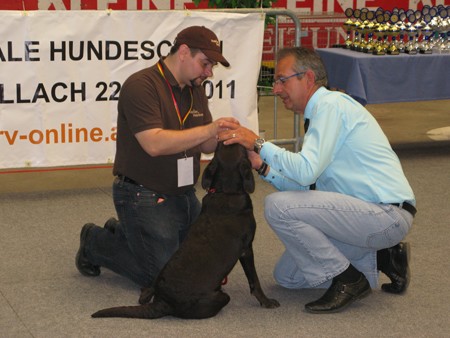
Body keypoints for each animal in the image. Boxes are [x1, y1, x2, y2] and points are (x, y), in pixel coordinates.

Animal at [91, 142, 280, 320]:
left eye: (220, 146)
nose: (226, 135)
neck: (226, 192)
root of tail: (162, 302)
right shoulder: (246, 249)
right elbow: (254, 280)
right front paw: (266, 301)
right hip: (219, 297)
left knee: (144, 294)